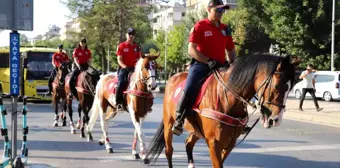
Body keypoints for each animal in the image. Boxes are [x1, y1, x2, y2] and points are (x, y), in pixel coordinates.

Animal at [145, 54, 302, 168]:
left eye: (291, 87)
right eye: (276, 86)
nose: (276, 119)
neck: (228, 98)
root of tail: (173, 77)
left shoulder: (230, 142)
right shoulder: (214, 143)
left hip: (196, 131)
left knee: (188, 143)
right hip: (169, 123)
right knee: (169, 150)